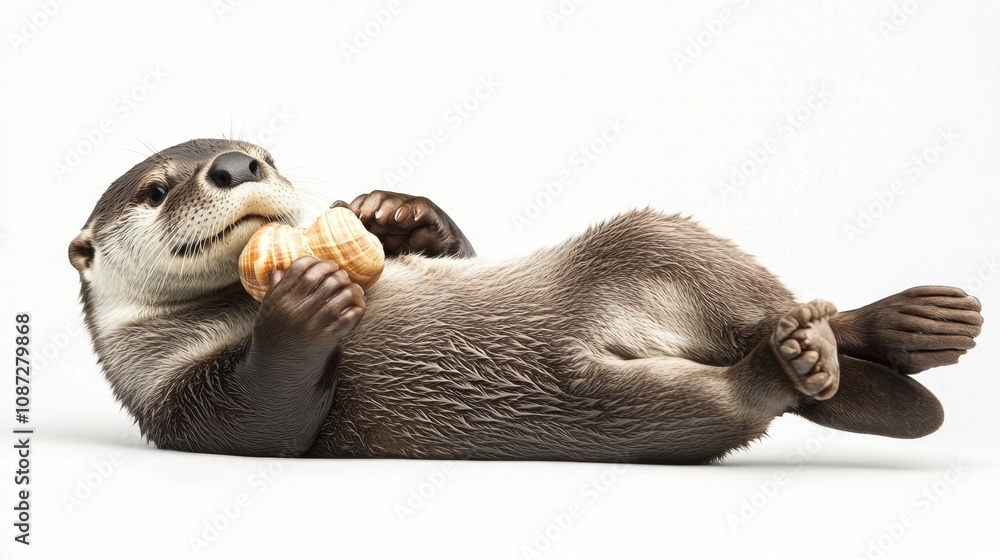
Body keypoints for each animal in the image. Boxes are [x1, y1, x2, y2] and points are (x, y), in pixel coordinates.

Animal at [69, 138, 983, 463]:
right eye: (156, 189)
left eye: (261, 151)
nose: (234, 166)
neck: (217, 315)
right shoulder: (178, 404)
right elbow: (272, 423)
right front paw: (306, 303)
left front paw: (397, 214)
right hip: (627, 411)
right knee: (742, 396)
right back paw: (802, 359)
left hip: (652, 251)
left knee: (771, 305)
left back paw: (905, 327)